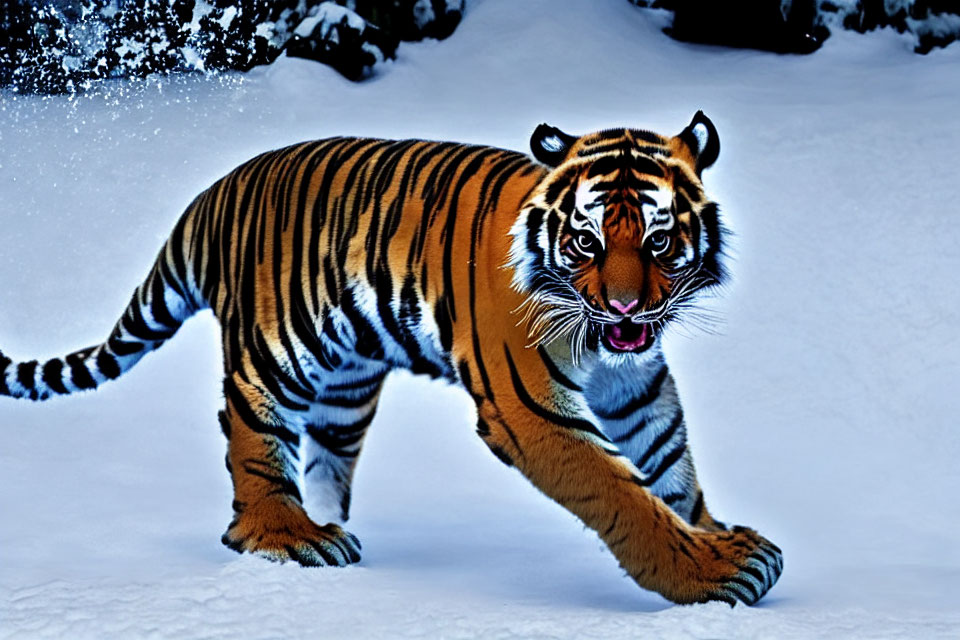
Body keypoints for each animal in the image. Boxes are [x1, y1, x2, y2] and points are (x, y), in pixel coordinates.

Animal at [0, 112, 780, 608]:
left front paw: (719, 535)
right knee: (251, 440)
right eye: (585, 241)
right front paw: (711, 575)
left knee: (323, 457)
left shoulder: (636, 387)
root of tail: (215, 190)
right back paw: (289, 538)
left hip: (345, 383)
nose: (624, 310)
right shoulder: (529, 407)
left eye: (659, 241)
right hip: (273, 352)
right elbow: (624, 494)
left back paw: (332, 529)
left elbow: (670, 467)